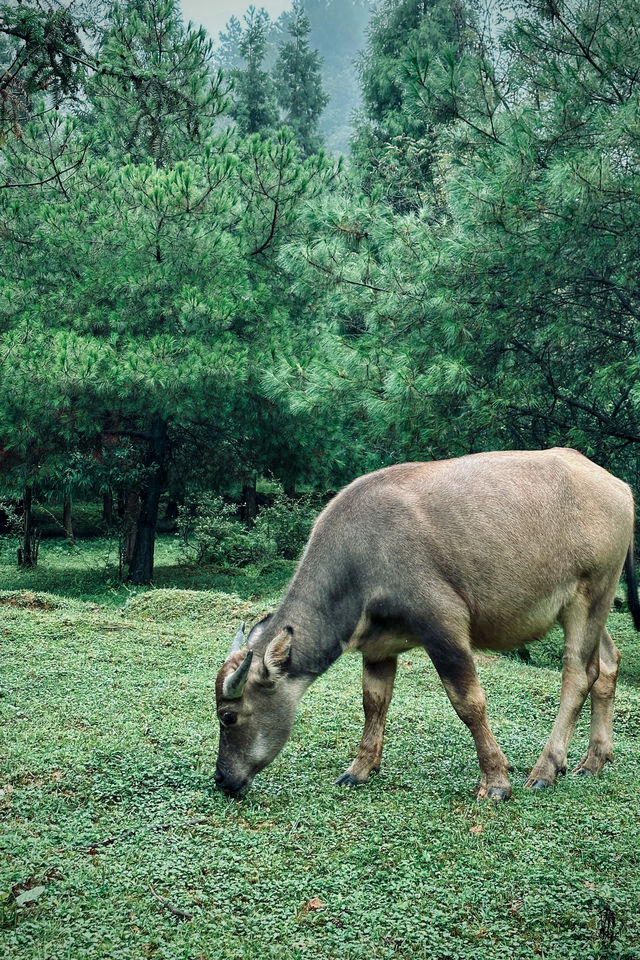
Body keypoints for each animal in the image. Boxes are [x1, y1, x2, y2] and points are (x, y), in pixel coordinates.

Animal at [214, 454, 636, 800]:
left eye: (229, 716)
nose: (221, 779)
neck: (359, 556)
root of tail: (620, 488)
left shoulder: (443, 625)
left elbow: (468, 703)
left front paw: (496, 780)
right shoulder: (378, 647)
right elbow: (373, 702)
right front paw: (360, 768)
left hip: (590, 596)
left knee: (578, 673)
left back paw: (547, 768)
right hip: (583, 608)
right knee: (607, 664)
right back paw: (593, 760)